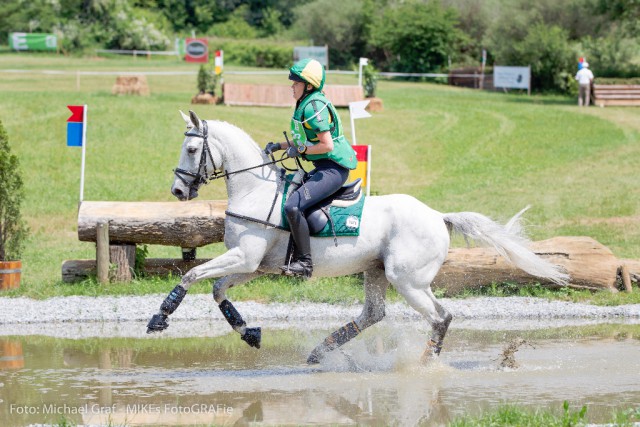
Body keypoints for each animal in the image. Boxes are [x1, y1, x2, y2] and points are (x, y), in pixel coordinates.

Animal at [146, 110, 568, 364]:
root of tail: (438, 216)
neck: (255, 190)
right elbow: (218, 290)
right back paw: (322, 352)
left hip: (406, 279)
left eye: (191, 148)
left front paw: (160, 316)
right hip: (380, 271)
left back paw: (423, 364)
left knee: (437, 317)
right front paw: (249, 333)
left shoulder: (245, 258)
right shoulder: (254, 266)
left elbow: (191, 275)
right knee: (380, 315)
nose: (177, 192)